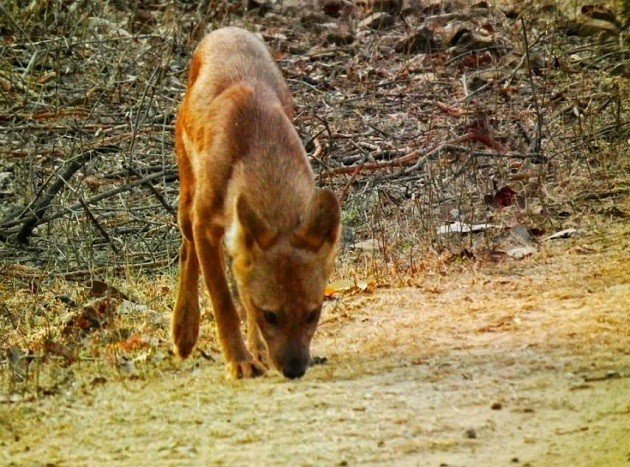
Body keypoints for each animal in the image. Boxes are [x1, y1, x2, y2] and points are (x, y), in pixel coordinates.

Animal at [172, 27, 340, 380]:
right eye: (270, 315)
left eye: (313, 313)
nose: (294, 370)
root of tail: (227, 29)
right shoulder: (205, 224)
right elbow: (224, 301)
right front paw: (239, 360)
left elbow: (244, 293)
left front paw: (257, 351)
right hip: (187, 201)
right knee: (186, 251)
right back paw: (184, 331)